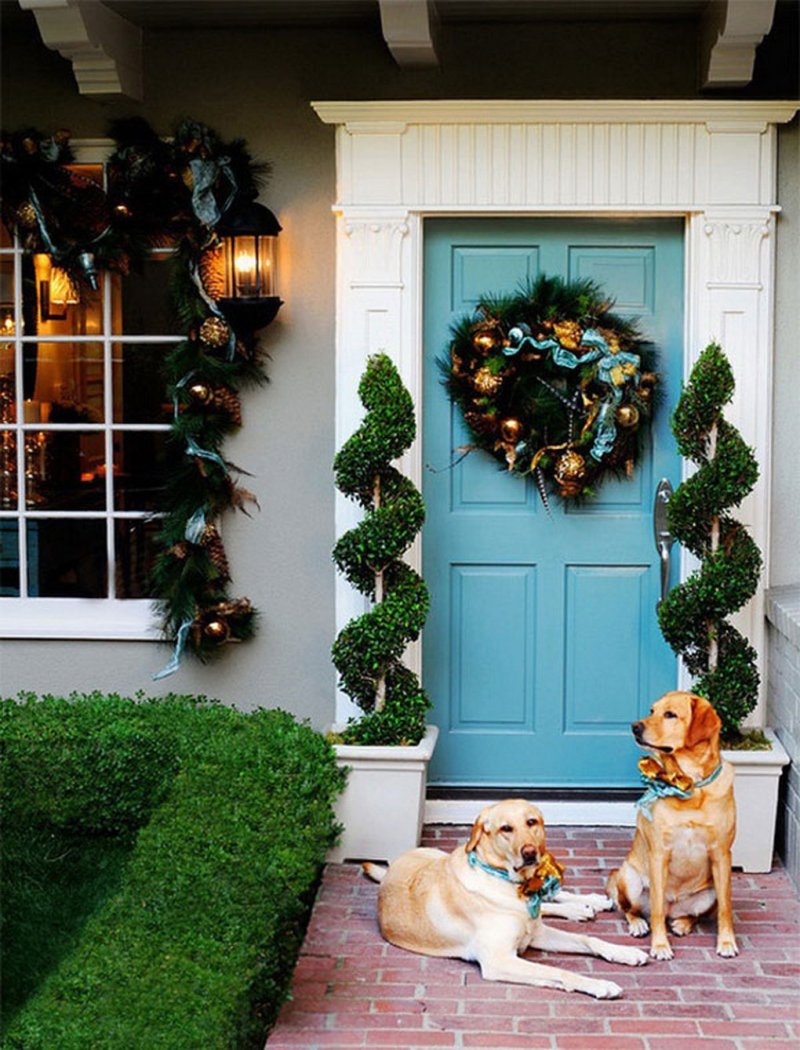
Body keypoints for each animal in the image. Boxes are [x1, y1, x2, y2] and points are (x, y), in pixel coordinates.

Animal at [365, 797, 646, 995]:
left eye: (532, 822)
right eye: (505, 829)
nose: (530, 852)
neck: (507, 882)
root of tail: (392, 865)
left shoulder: (537, 934)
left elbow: (589, 940)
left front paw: (625, 952)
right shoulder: (499, 960)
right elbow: (558, 971)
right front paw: (599, 984)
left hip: (439, 854)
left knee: (549, 902)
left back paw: (587, 903)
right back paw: (580, 908)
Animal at [604, 688, 734, 961]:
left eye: (670, 714)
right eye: (652, 710)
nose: (634, 726)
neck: (690, 786)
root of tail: (673, 907)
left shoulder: (721, 855)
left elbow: (725, 908)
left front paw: (727, 942)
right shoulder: (659, 854)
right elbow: (654, 910)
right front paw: (660, 946)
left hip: (709, 893)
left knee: (693, 915)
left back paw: (682, 923)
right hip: (630, 878)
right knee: (634, 909)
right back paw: (639, 924)